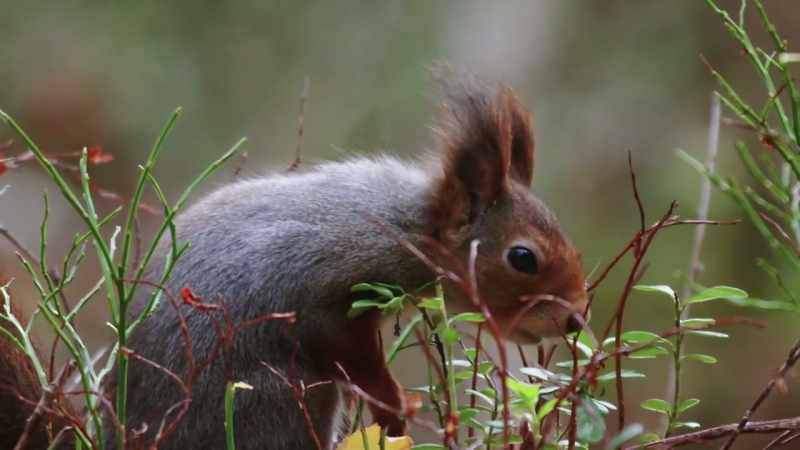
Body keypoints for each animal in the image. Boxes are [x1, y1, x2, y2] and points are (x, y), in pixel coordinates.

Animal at [0, 72, 588, 450]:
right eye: (522, 258)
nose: (576, 319)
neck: (407, 226)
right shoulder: (325, 284)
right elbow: (346, 350)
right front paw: (394, 408)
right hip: (273, 404)